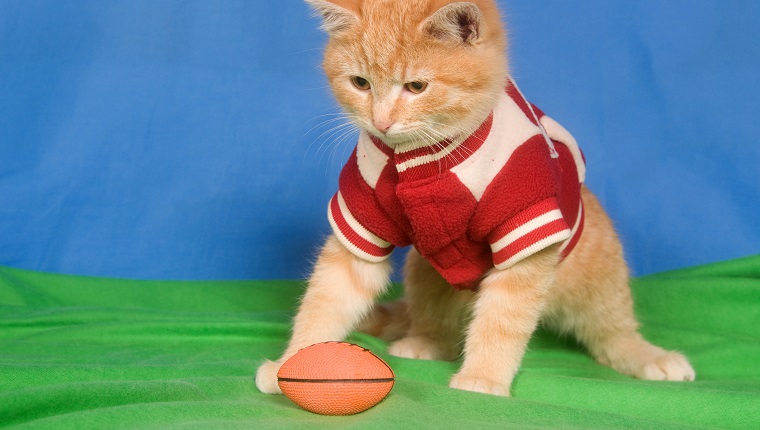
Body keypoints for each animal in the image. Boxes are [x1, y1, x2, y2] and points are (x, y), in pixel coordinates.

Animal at [256, 0, 696, 396]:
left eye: (416, 87)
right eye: (360, 83)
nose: (381, 122)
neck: (423, 155)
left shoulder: (525, 224)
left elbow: (503, 316)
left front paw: (483, 378)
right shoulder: (362, 212)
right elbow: (330, 294)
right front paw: (293, 362)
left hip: (594, 262)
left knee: (608, 327)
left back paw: (646, 355)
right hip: (425, 270)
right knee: (436, 319)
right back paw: (425, 340)